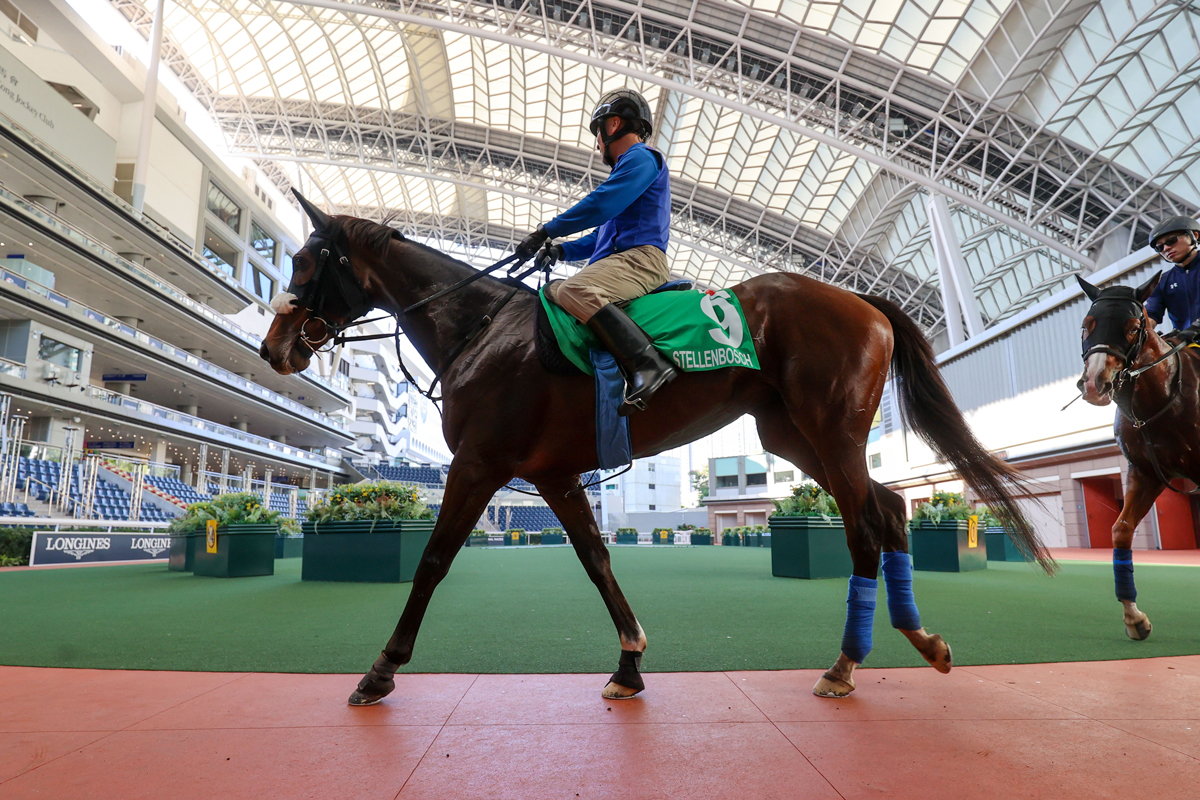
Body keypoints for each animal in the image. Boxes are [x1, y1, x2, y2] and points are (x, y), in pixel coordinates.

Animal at [258, 194, 1046, 705]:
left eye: (309, 260)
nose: (274, 347)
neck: (480, 326)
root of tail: (862, 299)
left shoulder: (481, 465)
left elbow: (432, 560)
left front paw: (381, 670)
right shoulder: (553, 475)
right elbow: (596, 561)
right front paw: (630, 663)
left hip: (830, 432)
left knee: (867, 525)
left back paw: (847, 664)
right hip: (795, 435)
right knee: (887, 509)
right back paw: (918, 640)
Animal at [1080, 272, 1200, 642]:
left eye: (1134, 327)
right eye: (1086, 325)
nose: (1096, 383)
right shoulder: (1145, 473)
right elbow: (1121, 530)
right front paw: (1134, 618)